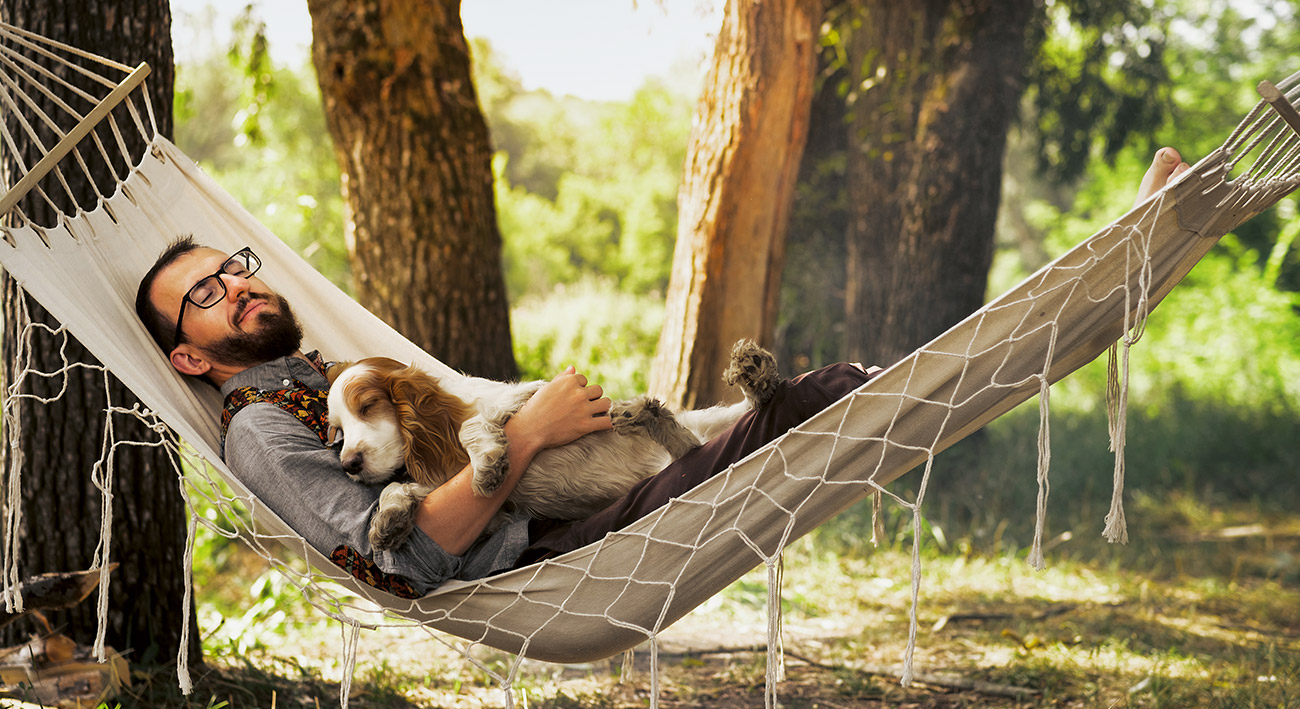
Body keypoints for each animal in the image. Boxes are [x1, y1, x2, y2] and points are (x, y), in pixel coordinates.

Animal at [325, 340, 780, 548]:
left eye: (367, 407)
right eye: (338, 432)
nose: (348, 464)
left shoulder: (525, 395)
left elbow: (473, 426)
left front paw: (488, 465)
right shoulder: (497, 516)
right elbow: (397, 486)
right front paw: (389, 520)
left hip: (710, 425)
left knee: (749, 408)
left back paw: (754, 372)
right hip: (690, 447)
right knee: (687, 445)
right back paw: (643, 414)